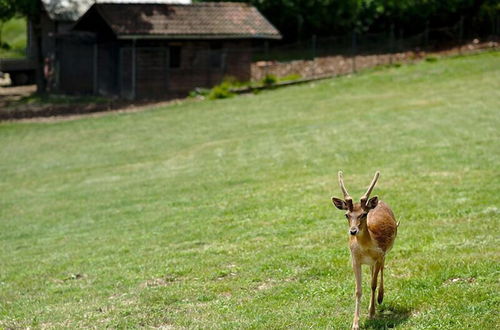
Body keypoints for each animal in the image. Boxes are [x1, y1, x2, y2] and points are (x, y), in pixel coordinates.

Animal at [332, 171, 398, 328]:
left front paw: (372, 312)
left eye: (363, 214)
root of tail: (378, 202)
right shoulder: (355, 260)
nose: (353, 231)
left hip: (385, 253)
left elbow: (373, 284)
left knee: (382, 269)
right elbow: (358, 290)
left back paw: (380, 297)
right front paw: (355, 324)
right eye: (346, 215)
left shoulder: (380, 254)